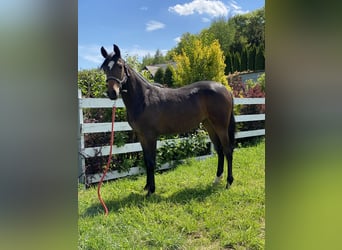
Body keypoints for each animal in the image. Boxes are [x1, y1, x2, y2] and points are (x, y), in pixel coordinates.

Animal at [101, 45, 235, 196]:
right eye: (105, 68)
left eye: (119, 66)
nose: (112, 93)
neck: (143, 98)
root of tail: (225, 89)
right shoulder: (141, 136)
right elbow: (146, 161)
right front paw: (147, 187)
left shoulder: (150, 136)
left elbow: (151, 162)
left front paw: (151, 191)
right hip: (210, 125)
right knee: (220, 150)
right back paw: (217, 179)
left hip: (221, 127)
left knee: (228, 150)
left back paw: (228, 182)